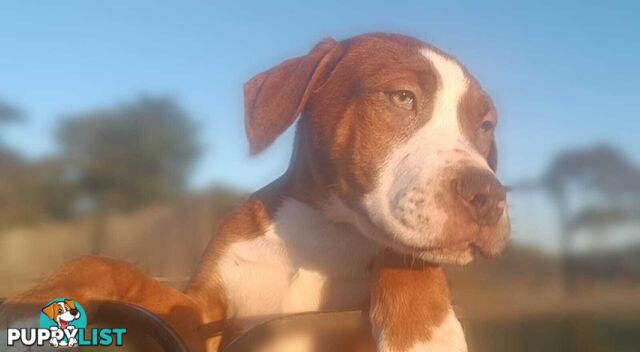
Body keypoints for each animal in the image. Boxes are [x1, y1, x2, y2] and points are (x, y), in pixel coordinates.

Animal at [0, 33, 510, 352]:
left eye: (485, 126)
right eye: (402, 97)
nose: (490, 197)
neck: (324, 228)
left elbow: (403, 255)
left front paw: (428, 333)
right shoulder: (203, 316)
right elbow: (108, 265)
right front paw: (44, 296)